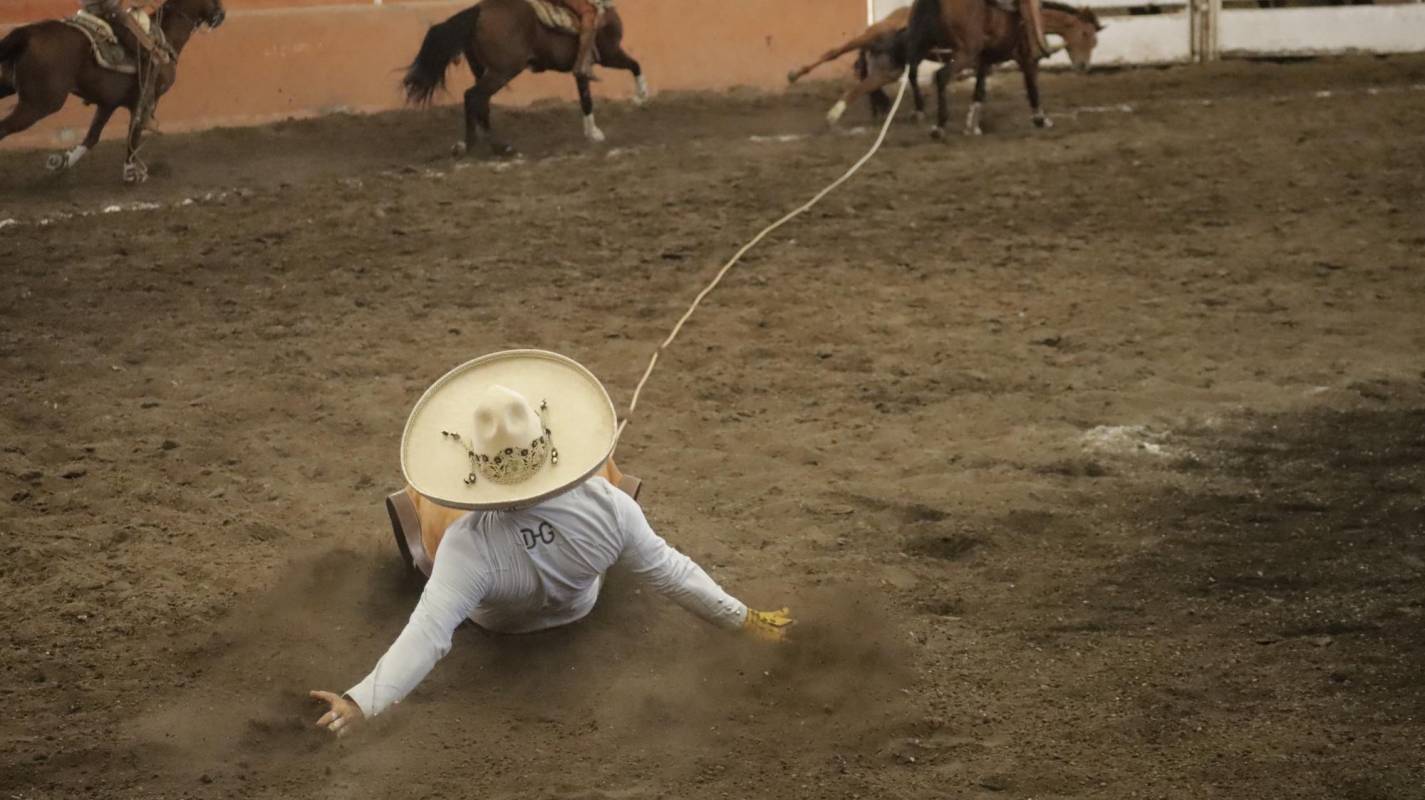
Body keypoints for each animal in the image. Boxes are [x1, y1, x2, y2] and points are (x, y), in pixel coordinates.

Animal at [0, 0, 226, 181]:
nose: (222, 14)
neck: (164, 38)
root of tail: (28, 33)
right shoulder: (143, 101)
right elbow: (133, 133)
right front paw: (131, 172)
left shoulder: (108, 103)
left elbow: (92, 137)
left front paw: (62, 160)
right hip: (39, 104)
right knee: (3, 128)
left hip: (9, 86)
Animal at [401, 0, 646, 157]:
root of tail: (478, 10)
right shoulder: (610, 54)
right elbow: (635, 65)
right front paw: (641, 95)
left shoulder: (582, 67)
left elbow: (586, 98)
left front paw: (592, 132)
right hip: (503, 71)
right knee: (474, 97)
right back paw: (497, 147)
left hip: (483, 70)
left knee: (478, 102)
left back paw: (469, 145)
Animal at [900, 0, 1060, 139]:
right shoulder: (1026, 57)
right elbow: (1032, 87)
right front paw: (1040, 119)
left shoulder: (984, 59)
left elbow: (979, 91)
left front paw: (972, 126)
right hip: (965, 52)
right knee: (941, 76)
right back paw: (939, 126)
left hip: (919, 45)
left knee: (912, 73)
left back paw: (919, 110)